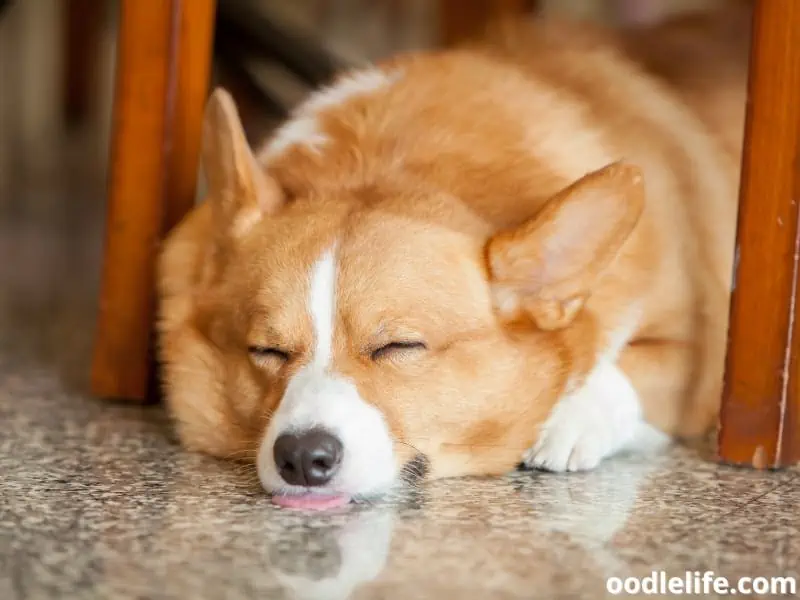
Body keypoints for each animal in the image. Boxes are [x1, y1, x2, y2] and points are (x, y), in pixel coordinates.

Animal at [158, 7, 752, 508]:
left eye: (398, 346)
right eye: (267, 350)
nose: (303, 459)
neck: (391, 163)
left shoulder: (707, 360)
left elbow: (628, 369)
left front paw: (569, 420)